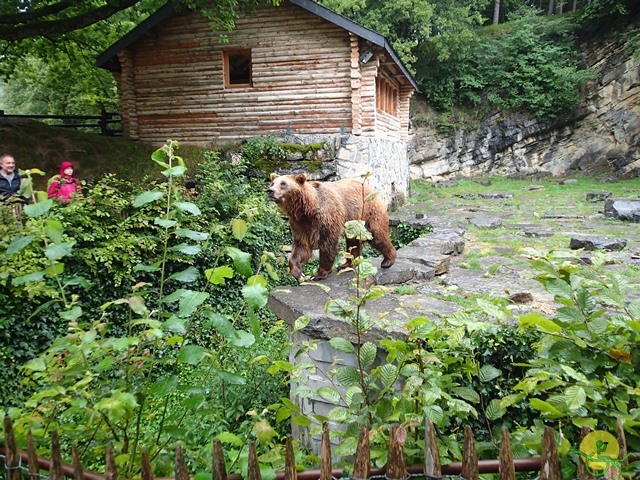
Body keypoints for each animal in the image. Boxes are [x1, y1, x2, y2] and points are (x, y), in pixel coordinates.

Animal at [264, 173, 396, 282]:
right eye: (273, 182)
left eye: (283, 183)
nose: (270, 191)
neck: (307, 209)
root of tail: (369, 187)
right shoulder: (300, 223)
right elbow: (302, 246)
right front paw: (298, 272)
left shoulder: (327, 217)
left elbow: (327, 244)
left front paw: (318, 274)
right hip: (352, 223)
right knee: (352, 241)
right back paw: (347, 264)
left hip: (367, 212)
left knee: (376, 235)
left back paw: (388, 260)